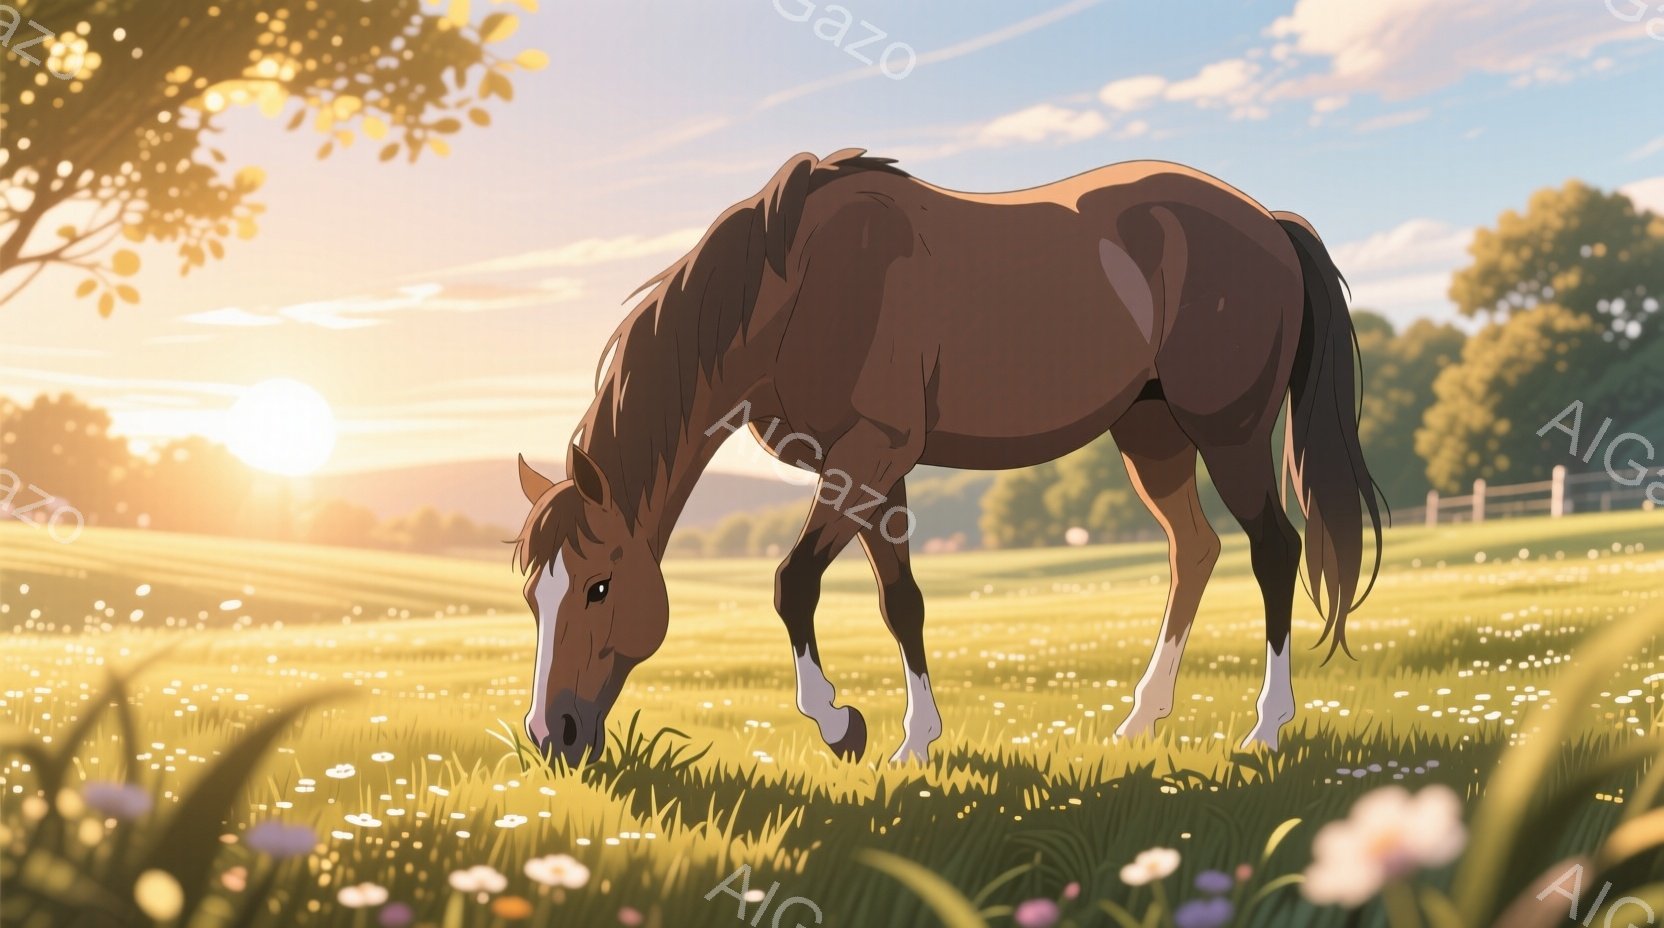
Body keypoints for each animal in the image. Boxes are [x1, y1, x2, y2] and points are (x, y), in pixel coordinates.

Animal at [514, 149, 1382, 766]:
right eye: (531, 596)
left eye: (598, 586)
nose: (553, 735)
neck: (794, 288)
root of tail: (1268, 220)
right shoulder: (870, 470)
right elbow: (902, 602)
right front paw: (914, 741)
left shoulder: (867, 455)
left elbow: (793, 583)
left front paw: (840, 726)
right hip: (1153, 433)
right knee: (1193, 550)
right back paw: (1140, 722)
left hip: (1228, 431)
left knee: (1274, 551)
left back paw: (1266, 731)